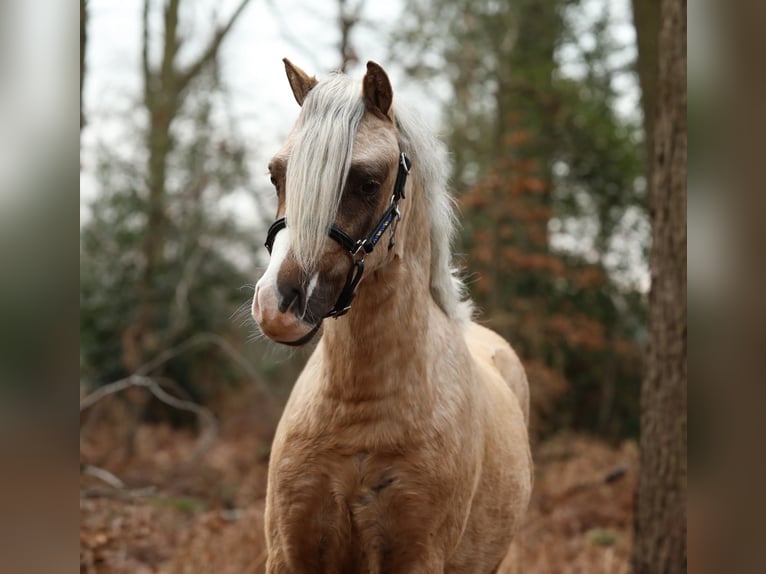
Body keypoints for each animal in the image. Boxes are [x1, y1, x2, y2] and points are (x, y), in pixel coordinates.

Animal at [251, 58, 532, 573]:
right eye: (277, 174)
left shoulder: (417, 558)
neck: (358, 405)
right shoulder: (288, 554)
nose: (277, 307)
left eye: (368, 181)